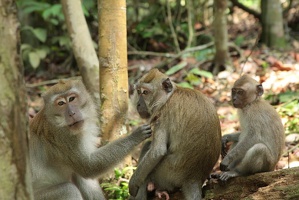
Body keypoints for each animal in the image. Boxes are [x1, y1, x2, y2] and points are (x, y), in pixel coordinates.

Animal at [129, 69, 223, 200]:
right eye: (138, 91)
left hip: (166, 175)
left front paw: (132, 184)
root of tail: (194, 178)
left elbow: (157, 152)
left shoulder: (163, 115)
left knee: (148, 147)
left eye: (145, 92)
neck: (170, 96)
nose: (138, 104)